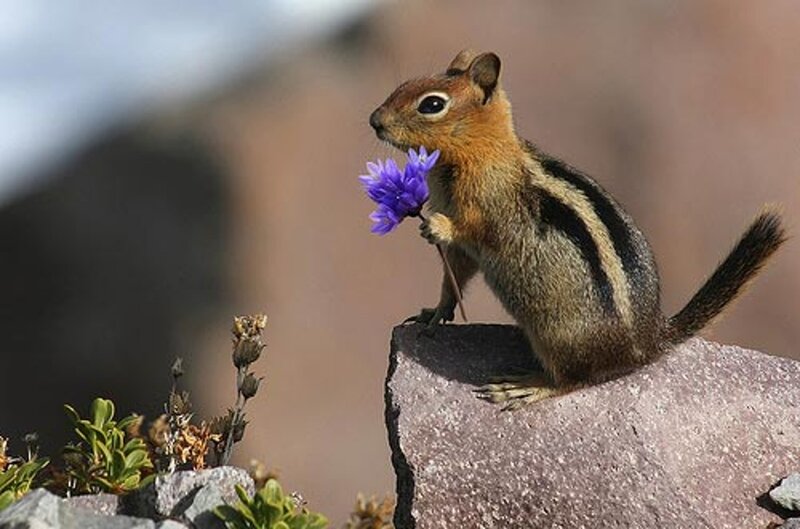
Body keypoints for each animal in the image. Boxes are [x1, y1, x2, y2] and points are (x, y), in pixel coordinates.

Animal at [369, 50, 787, 409]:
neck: (483, 151)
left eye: (432, 105)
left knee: (575, 380)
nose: (375, 120)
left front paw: (435, 227)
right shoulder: (463, 253)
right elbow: (453, 276)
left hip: (557, 337)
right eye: (404, 84)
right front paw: (435, 312)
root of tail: (650, 341)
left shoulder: (489, 208)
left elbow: (474, 231)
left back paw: (527, 387)